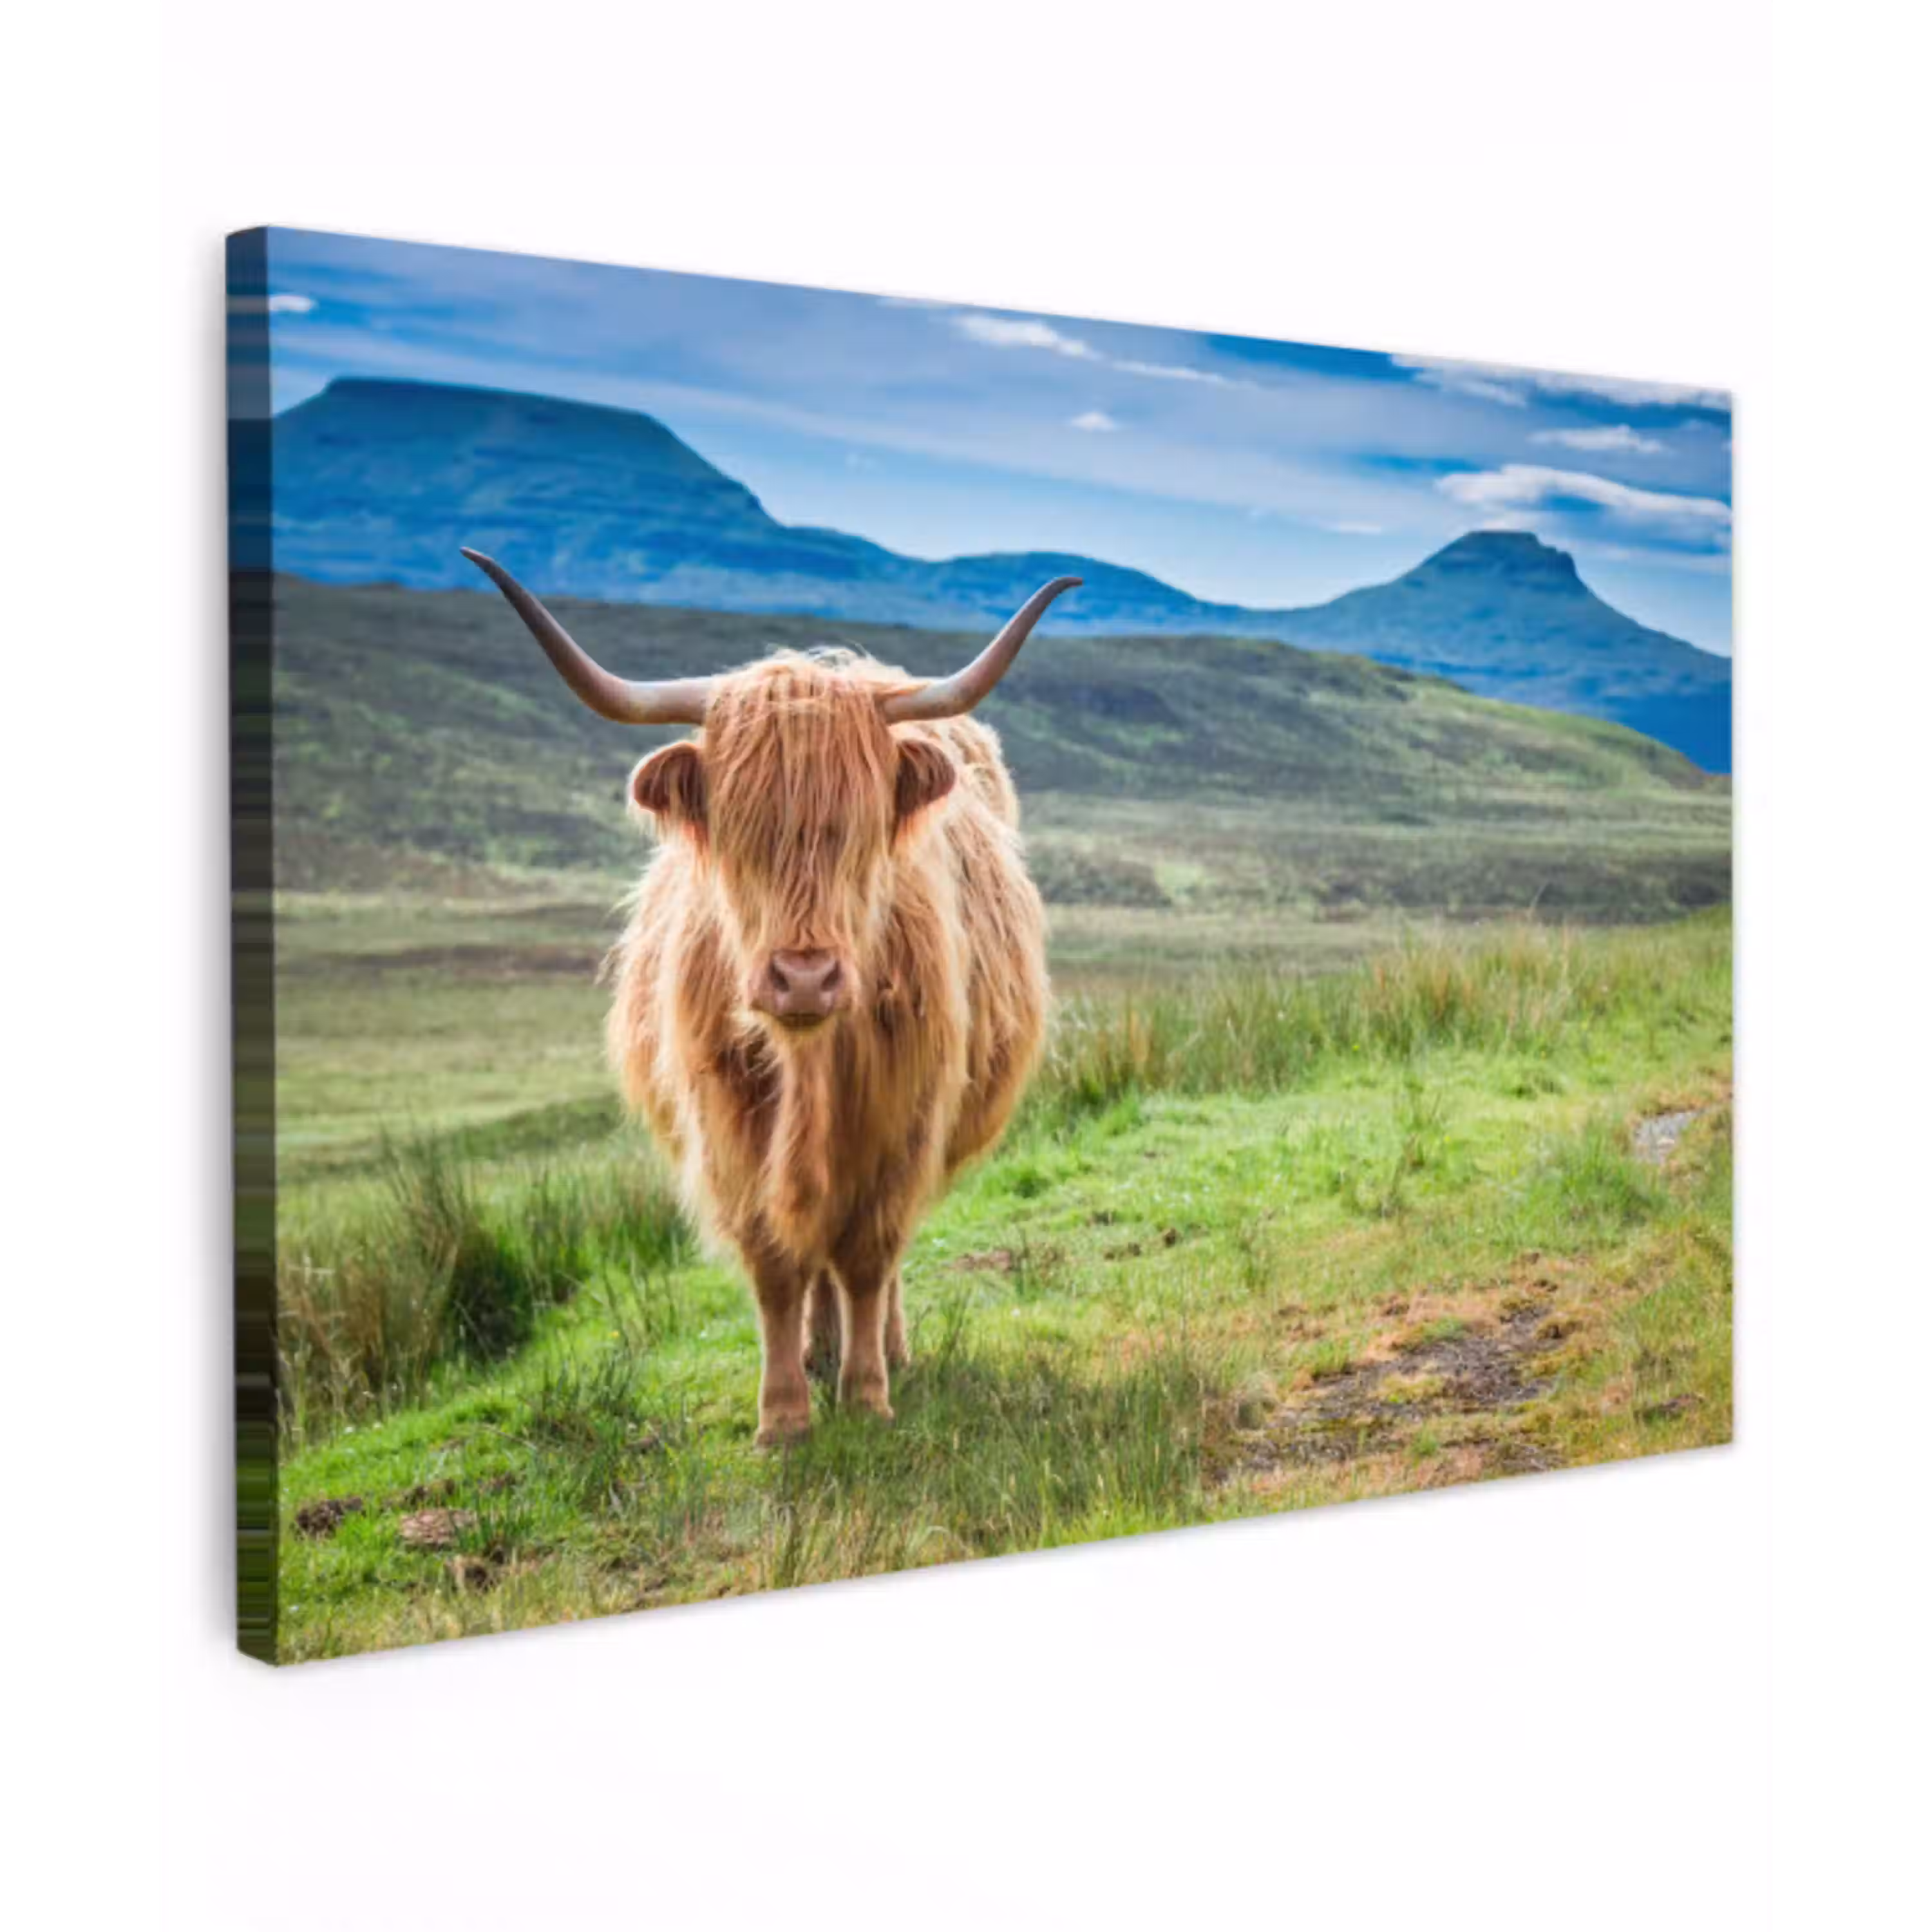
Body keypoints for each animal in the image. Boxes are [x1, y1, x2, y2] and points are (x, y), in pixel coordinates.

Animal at [461, 550, 1076, 1445]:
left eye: (859, 829)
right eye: (739, 829)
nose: (805, 978)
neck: (809, 1063)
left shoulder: (904, 1120)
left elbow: (869, 1256)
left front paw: (867, 1394)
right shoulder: (729, 1127)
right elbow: (777, 1263)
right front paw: (784, 1415)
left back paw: (884, 1350)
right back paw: (819, 1351)